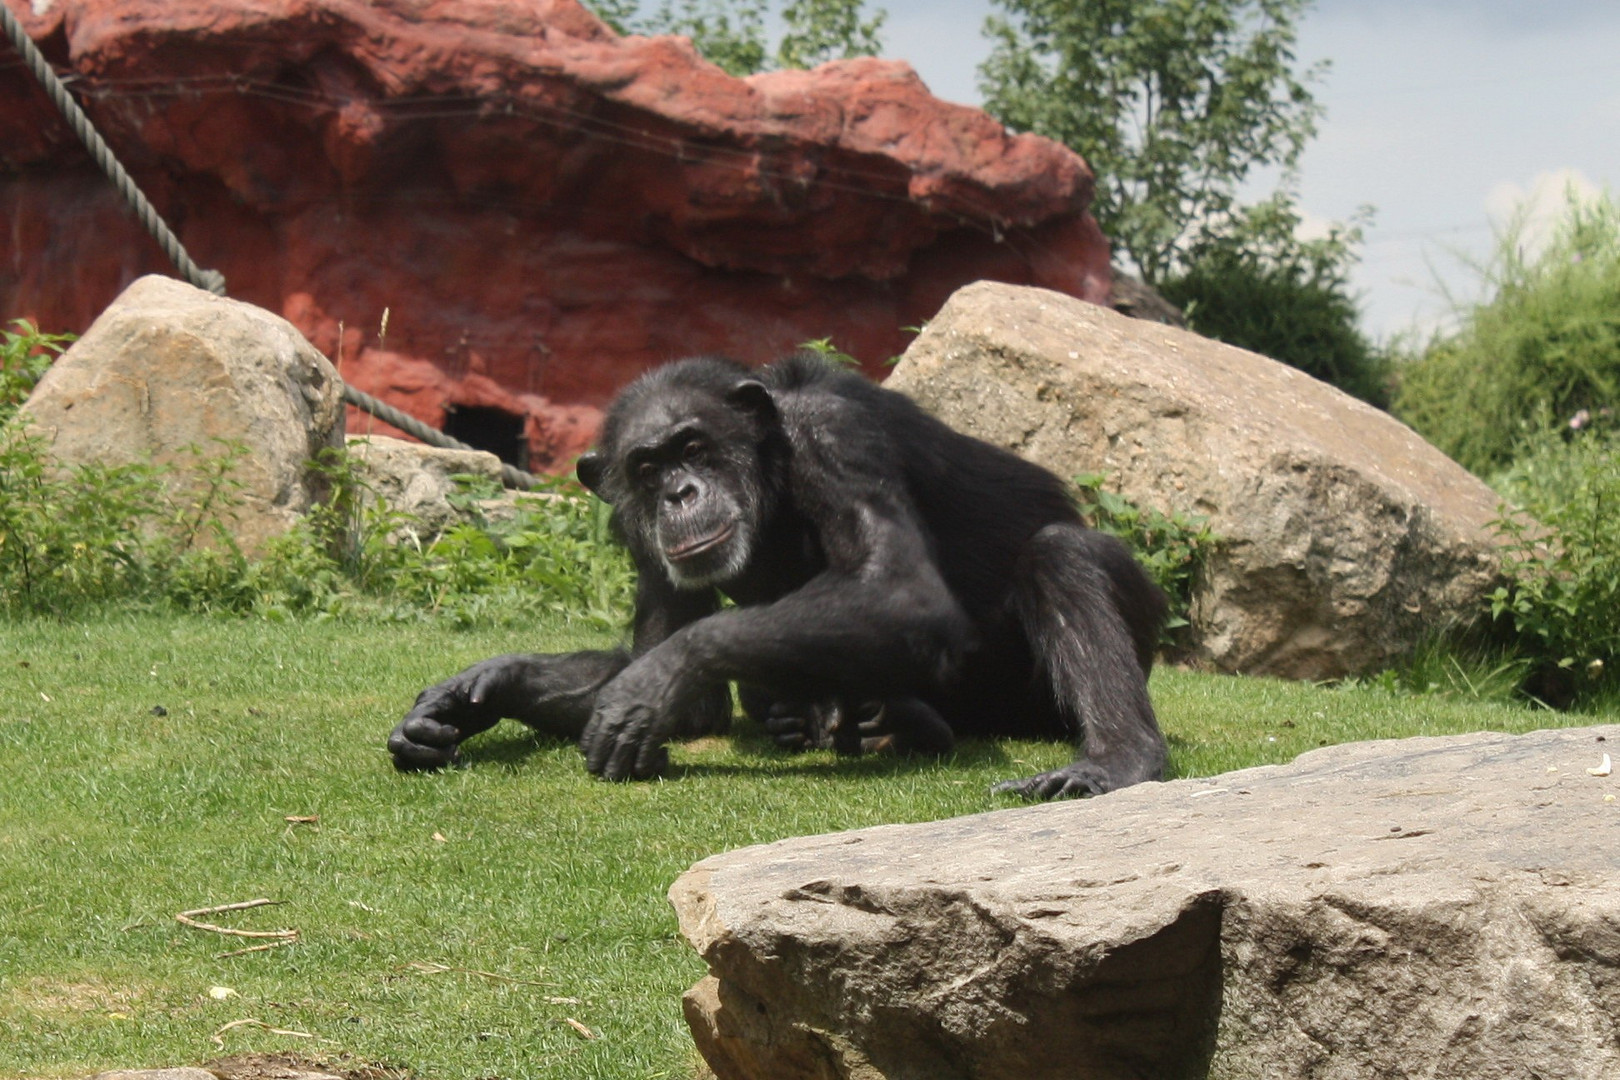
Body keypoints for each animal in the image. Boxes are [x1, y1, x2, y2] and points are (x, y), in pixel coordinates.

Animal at [385, 351, 1172, 799]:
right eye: (648, 466)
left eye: (693, 447)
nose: (679, 493)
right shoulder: (634, 528)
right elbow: (686, 699)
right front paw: (475, 693)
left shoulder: (835, 433)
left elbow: (898, 589)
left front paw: (657, 678)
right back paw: (869, 720)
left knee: (1061, 554)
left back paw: (1114, 761)